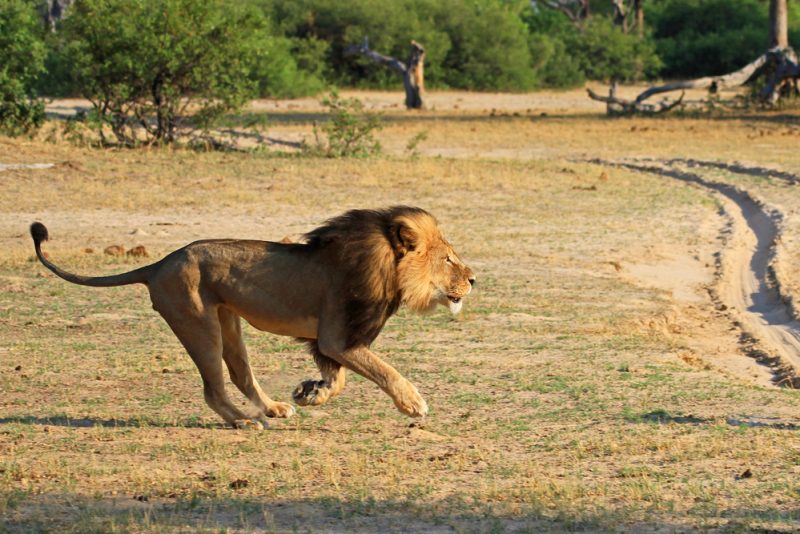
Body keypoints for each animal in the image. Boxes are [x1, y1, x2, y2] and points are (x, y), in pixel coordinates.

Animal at [29, 207, 475, 429]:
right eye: (448, 259)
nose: (473, 278)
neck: (386, 266)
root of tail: (158, 264)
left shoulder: (331, 341)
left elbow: (341, 379)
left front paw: (310, 393)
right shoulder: (338, 337)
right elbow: (383, 369)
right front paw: (413, 403)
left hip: (228, 323)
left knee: (241, 374)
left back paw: (274, 408)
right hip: (199, 324)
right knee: (213, 389)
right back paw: (245, 422)